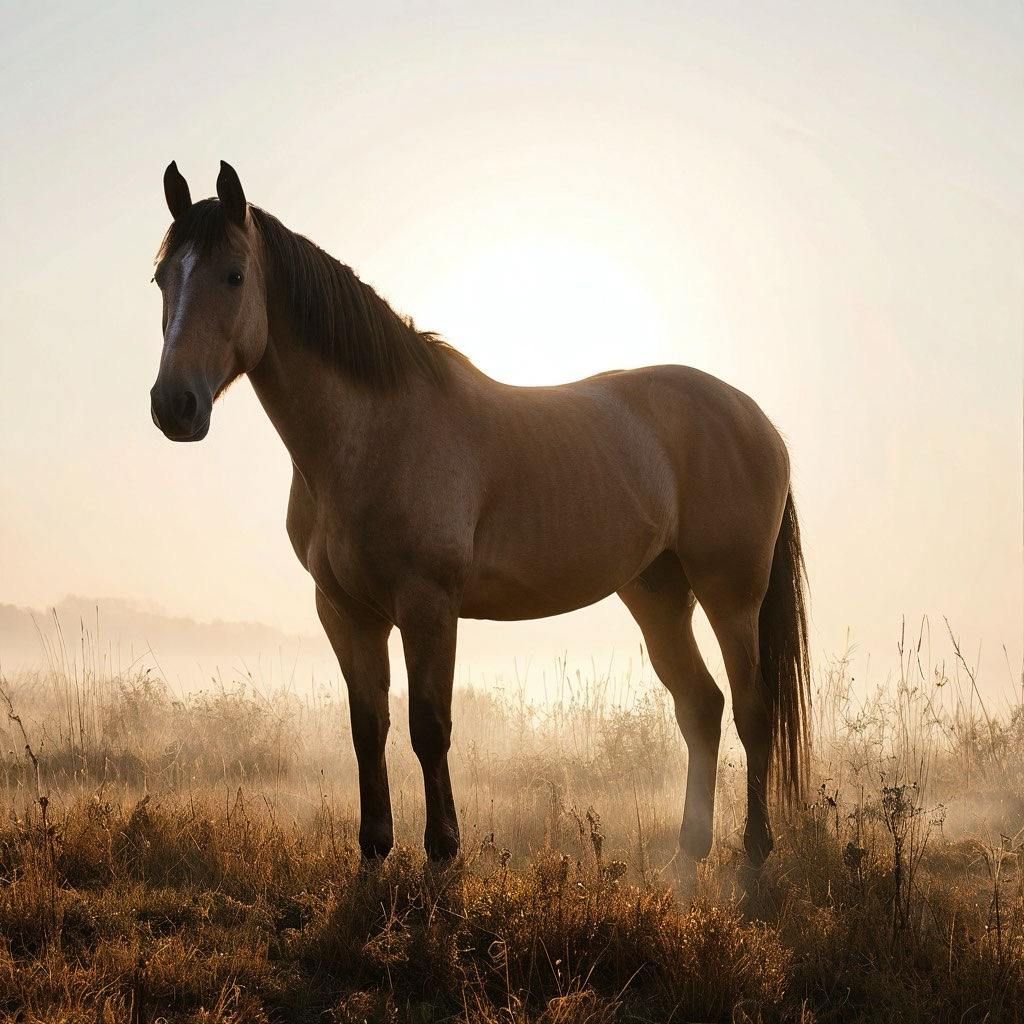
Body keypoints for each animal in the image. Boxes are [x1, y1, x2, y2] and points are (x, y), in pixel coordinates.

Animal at [149, 163, 806, 868]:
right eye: (163, 279)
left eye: (234, 275)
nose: (174, 405)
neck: (374, 432)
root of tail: (755, 418)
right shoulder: (344, 610)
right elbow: (367, 728)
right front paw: (375, 849)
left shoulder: (428, 605)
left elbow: (429, 727)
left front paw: (443, 850)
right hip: (656, 592)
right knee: (700, 706)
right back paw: (689, 853)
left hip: (729, 593)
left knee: (752, 710)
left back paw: (755, 850)